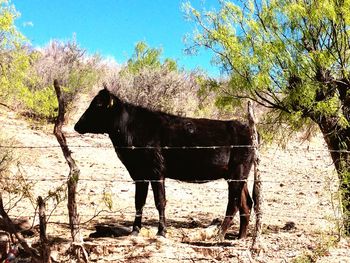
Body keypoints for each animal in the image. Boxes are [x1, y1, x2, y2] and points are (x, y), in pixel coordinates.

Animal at [74, 87, 254, 240]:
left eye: (98, 105)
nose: (77, 125)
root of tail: (247, 129)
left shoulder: (156, 171)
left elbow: (160, 201)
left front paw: (161, 232)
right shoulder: (140, 174)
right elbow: (139, 201)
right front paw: (135, 230)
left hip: (237, 174)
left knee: (233, 203)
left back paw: (219, 235)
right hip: (238, 176)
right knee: (246, 204)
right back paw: (241, 237)